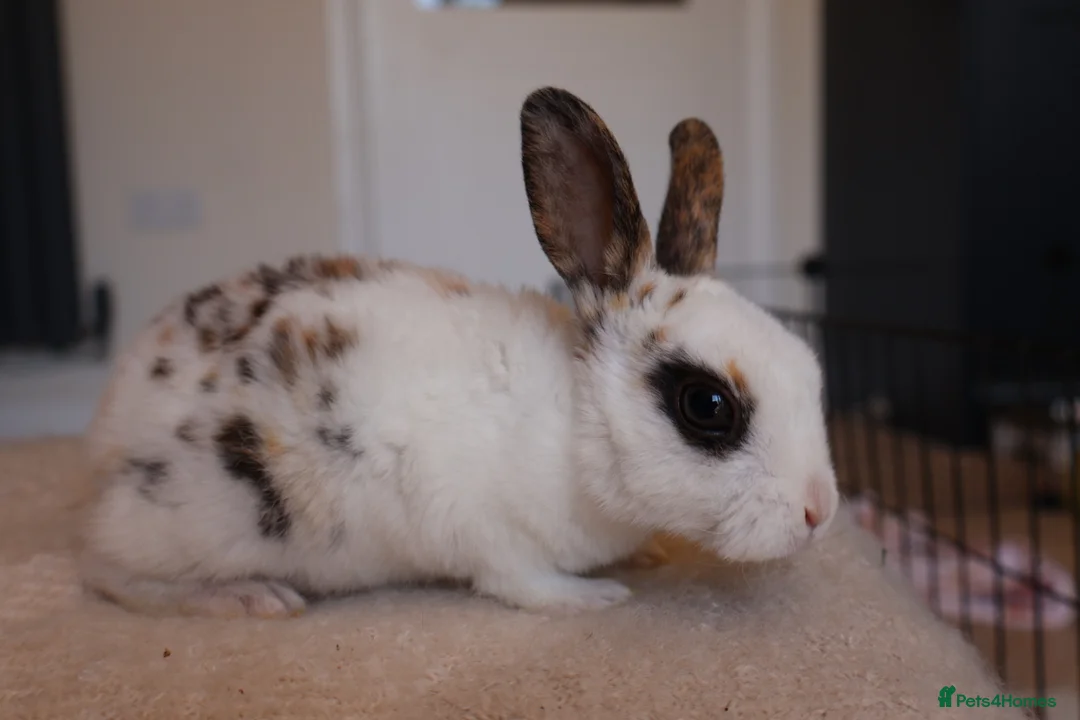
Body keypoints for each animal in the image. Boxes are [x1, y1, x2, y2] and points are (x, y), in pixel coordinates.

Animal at [74, 86, 840, 619]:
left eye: (809, 371)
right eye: (706, 405)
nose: (820, 513)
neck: (576, 426)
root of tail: (108, 429)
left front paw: (648, 553)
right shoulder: (484, 530)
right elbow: (522, 583)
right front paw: (593, 598)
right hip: (193, 522)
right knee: (108, 575)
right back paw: (249, 597)